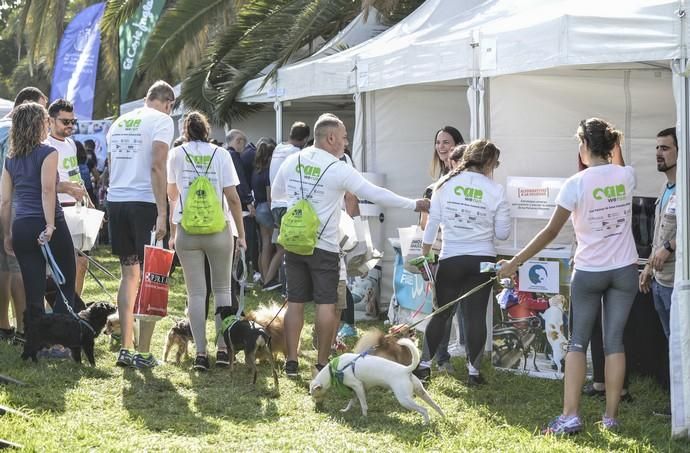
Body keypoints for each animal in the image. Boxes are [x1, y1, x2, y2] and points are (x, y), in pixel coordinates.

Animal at [310, 338, 444, 422]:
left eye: (315, 395)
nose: (317, 408)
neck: (334, 369)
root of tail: (406, 370)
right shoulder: (359, 390)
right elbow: (352, 401)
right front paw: (346, 410)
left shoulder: (357, 386)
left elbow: (363, 405)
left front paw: (364, 418)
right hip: (421, 392)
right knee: (436, 405)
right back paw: (443, 417)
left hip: (404, 399)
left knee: (424, 409)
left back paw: (425, 423)